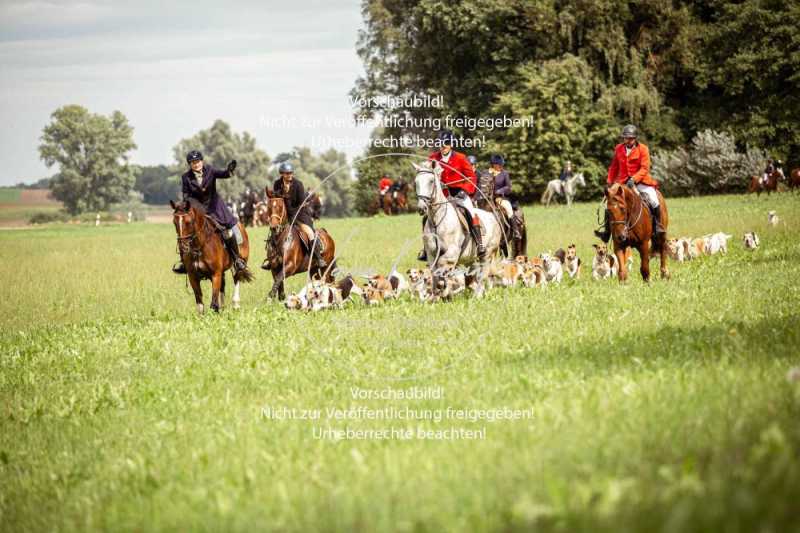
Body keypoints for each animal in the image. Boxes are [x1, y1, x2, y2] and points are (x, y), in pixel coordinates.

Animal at [412, 160, 500, 298]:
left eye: (431, 181)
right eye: (416, 182)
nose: (422, 208)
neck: (437, 220)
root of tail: (493, 217)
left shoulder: (452, 253)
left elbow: (443, 265)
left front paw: (444, 290)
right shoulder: (431, 254)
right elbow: (434, 273)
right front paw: (437, 295)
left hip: (487, 254)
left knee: (482, 274)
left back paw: (477, 295)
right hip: (471, 258)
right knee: (473, 274)